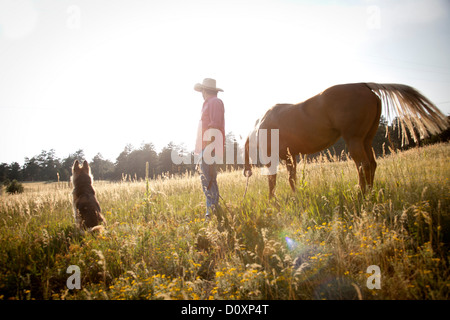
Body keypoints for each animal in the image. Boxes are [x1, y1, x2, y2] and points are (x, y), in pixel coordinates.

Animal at [244, 82, 448, 198]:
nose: (247, 171)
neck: (261, 123)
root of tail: (363, 85)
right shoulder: (290, 157)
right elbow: (291, 178)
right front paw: (295, 197)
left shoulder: (276, 158)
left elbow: (274, 180)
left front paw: (274, 202)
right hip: (366, 140)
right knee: (372, 164)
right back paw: (369, 192)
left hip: (354, 139)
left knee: (363, 165)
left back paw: (361, 194)